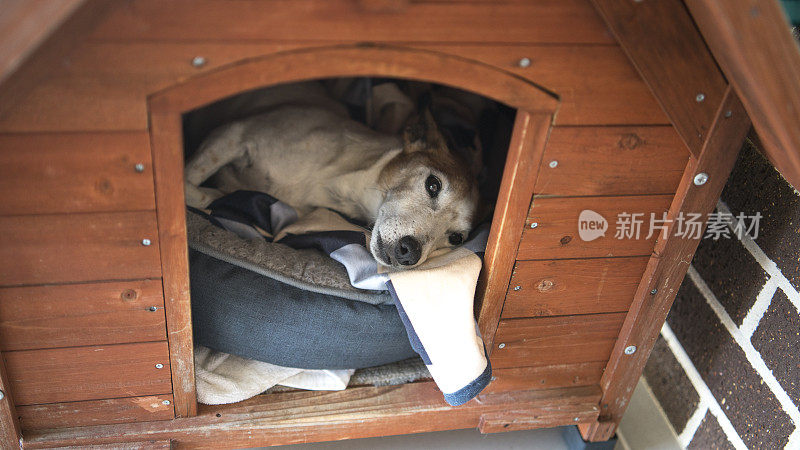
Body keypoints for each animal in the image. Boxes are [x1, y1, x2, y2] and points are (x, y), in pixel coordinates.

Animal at [184, 90, 478, 270]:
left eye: (456, 238)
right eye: (433, 185)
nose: (410, 252)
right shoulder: (231, 134)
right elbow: (188, 183)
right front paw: (210, 195)